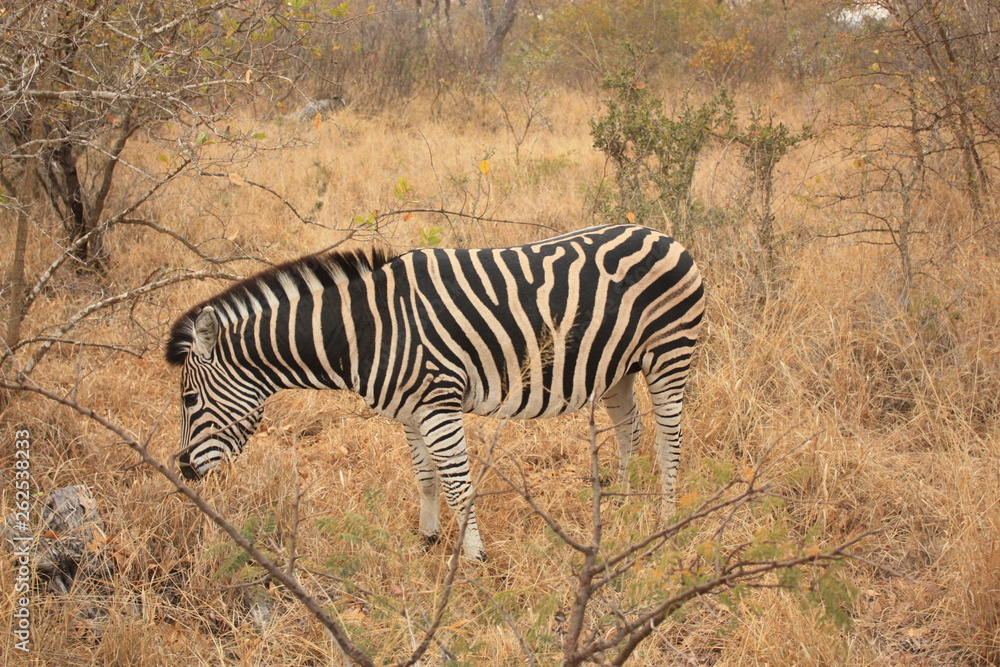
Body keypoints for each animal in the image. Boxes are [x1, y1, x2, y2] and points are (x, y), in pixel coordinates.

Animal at [166, 224, 705, 560]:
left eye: (189, 402)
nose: (184, 470)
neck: (363, 330)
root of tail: (665, 236)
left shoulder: (440, 403)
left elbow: (457, 484)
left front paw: (476, 557)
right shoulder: (411, 411)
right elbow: (425, 477)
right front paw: (427, 539)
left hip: (668, 354)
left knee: (670, 442)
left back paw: (665, 520)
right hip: (616, 367)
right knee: (629, 429)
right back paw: (621, 504)